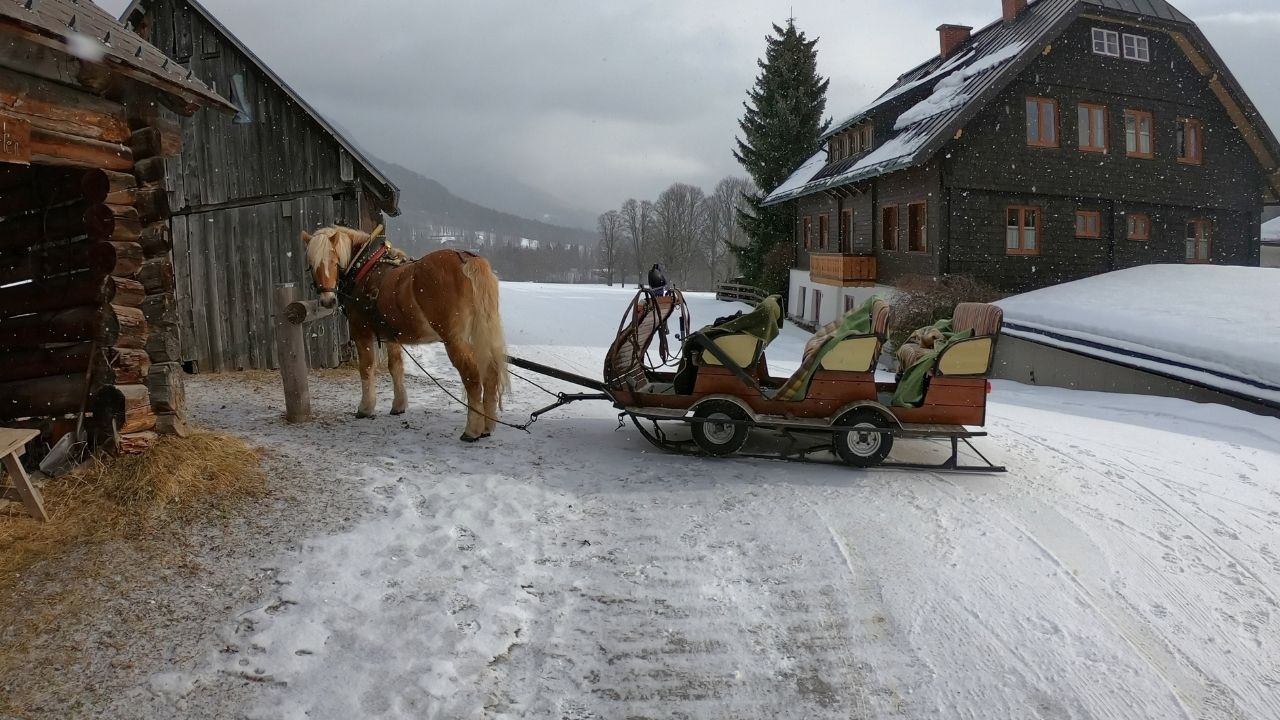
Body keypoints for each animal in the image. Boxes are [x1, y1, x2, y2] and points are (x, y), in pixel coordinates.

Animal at [301, 225, 509, 441]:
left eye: (334, 262)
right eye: (311, 264)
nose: (327, 301)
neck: (363, 268)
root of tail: (466, 259)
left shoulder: (361, 331)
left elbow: (366, 368)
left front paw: (365, 408)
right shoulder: (391, 336)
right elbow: (396, 367)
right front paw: (399, 405)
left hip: (454, 339)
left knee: (472, 376)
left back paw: (472, 430)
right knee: (491, 373)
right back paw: (487, 426)